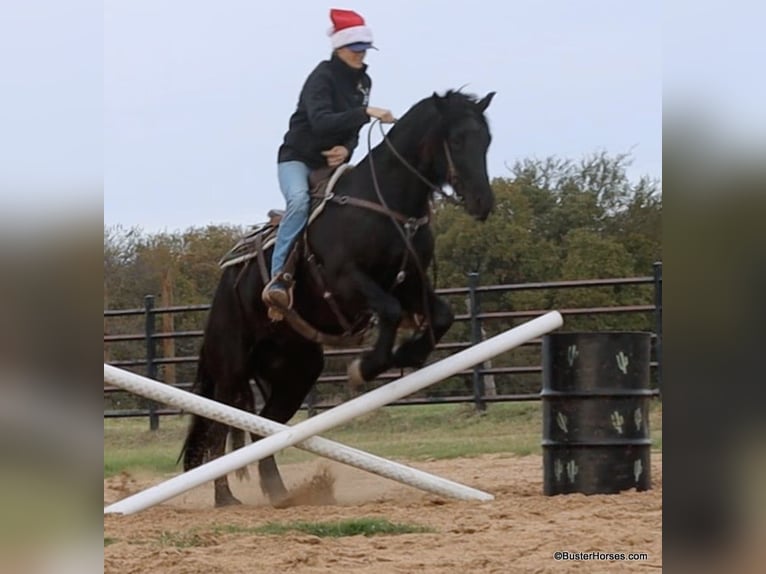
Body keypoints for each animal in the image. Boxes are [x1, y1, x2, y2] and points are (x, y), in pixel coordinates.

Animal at [181, 89, 496, 507]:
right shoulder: (346, 280)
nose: (483, 202)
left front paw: (406, 355)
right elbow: (389, 311)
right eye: (458, 140)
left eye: (487, 141)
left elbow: (442, 316)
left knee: (266, 425)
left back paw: (280, 493)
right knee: (219, 424)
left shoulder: (410, 281)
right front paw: (366, 367)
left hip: (296, 371)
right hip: (231, 367)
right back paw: (225, 498)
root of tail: (225, 285)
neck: (386, 204)